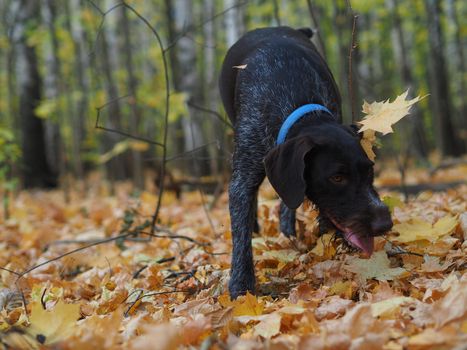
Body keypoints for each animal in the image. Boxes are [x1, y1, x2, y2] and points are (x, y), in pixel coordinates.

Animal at [218, 26, 392, 298]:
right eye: (337, 177)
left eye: (369, 172)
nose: (385, 224)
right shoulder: (243, 175)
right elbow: (241, 232)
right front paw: (241, 286)